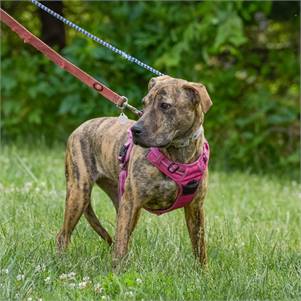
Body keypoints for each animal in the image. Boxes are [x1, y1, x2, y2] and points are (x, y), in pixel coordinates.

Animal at [55, 75, 211, 264]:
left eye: (165, 106)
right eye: (144, 103)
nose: (135, 130)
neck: (177, 154)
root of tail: (79, 128)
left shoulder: (195, 207)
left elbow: (200, 248)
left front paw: (202, 271)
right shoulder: (131, 203)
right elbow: (120, 247)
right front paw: (117, 270)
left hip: (119, 199)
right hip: (79, 194)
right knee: (63, 235)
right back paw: (60, 261)